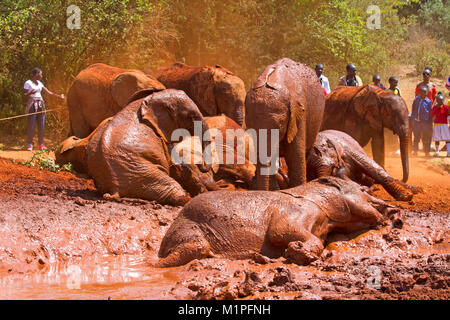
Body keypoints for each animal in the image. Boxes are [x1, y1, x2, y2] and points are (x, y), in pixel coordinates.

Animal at [156, 178, 402, 268]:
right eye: (364, 190)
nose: (393, 210)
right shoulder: (297, 209)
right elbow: (279, 231)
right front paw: (298, 252)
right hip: (190, 229)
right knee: (196, 248)